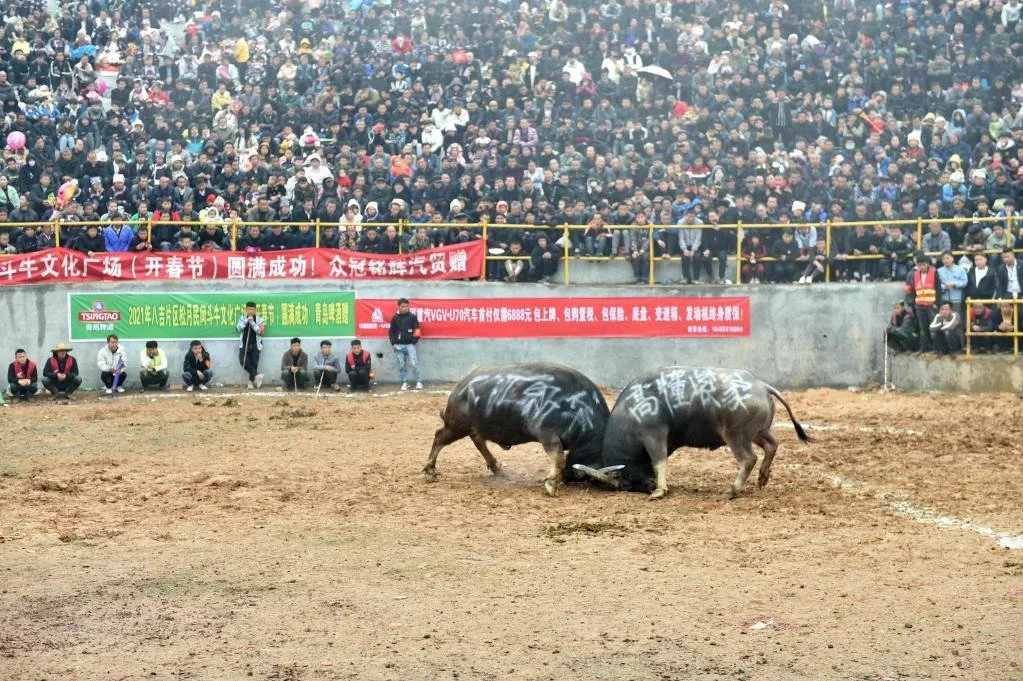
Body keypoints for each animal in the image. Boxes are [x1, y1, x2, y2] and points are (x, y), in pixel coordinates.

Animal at [421, 364, 605, 496]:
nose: (567, 478)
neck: (579, 408)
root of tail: (461, 386)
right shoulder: (548, 434)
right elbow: (558, 456)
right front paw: (552, 484)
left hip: (472, 426)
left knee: (477, 440)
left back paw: (496, 468)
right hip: (457, 425)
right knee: (439, 437)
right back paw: (430, 470)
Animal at [576, 366, 806, 498]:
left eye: (625, 482)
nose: (648, 487)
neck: (632, 409)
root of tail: (761, 385)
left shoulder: (653, 435)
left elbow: (659, 461)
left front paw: (660, 491)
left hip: (736, 435)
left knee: (749, 459)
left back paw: (732, 490)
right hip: (759, 432)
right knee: (772, 445)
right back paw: (762, 478)